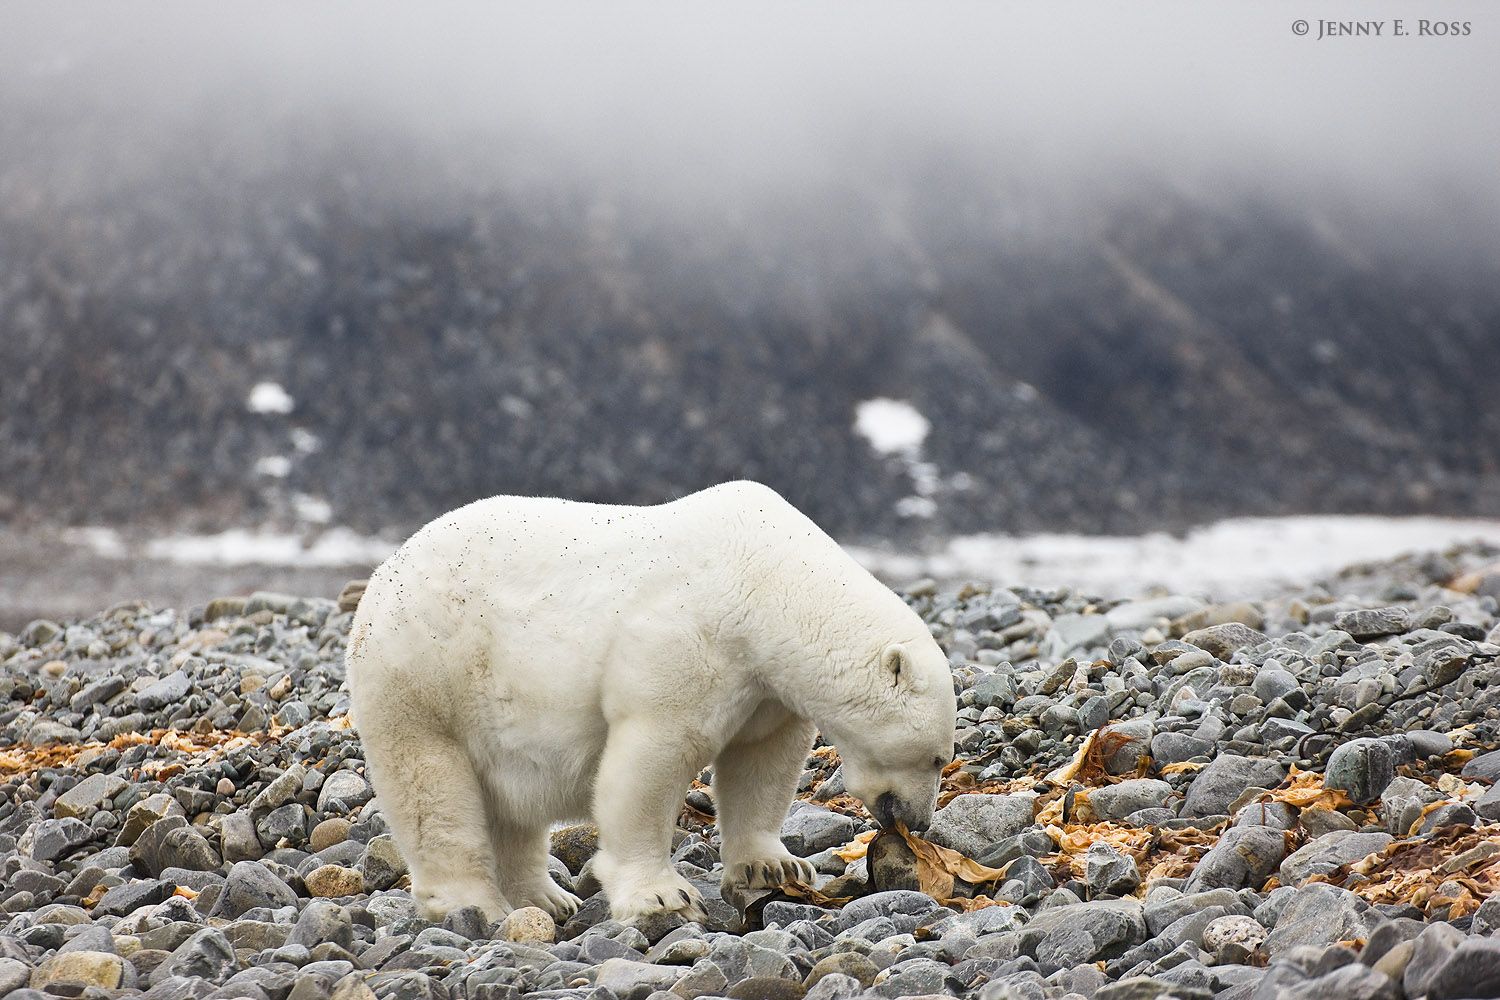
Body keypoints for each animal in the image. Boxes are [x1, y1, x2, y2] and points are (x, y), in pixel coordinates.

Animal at [346, 480, 957, 923]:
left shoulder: (765, 686)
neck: (768, 587)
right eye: (935, 757)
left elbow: (761, 761)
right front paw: (661, 896)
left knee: (511, 809)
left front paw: (775, 868)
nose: (917, 820)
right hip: (424, 673)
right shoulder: (686, 642)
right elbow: (652, 758)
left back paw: (546, 898)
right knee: (433, 790)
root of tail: (384, 571)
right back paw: (474, 903)